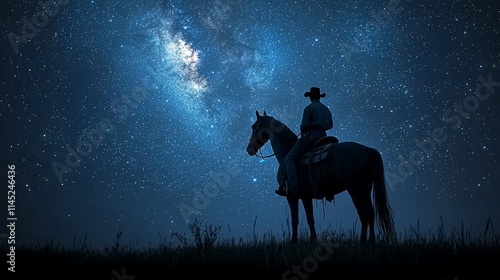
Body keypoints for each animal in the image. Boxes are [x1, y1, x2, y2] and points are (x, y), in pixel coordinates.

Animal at [245, 110, 394, 244]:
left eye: (253, 126)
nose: (249, 149)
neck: (286, 153)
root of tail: (367, 149)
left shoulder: (293, 196)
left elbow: (297, 220)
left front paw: (294, 242)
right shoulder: (306, 196)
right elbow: (310, 219)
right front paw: (313, 240)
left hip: (355, 189)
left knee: (364, 213)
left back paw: (364, 241)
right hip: (365, 188)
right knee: (370, 212)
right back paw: (369, 241)